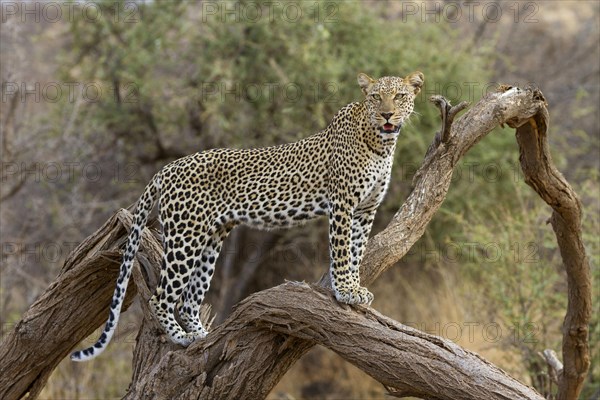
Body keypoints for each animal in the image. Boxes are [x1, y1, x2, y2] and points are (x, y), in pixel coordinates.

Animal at [70, 70, 424, 360]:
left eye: (399, 96)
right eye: (376, 97)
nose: (387, 113)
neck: (380, 142)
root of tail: (167, 168)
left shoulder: (365, 210)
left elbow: (356, 251)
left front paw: (355, 288)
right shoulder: (342, 205)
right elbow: (340, 252)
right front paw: (346, 291)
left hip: (211, 238)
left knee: (189, 298)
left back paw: (204, 336)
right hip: (185, 238)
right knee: (163, 296)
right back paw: (181, 338)